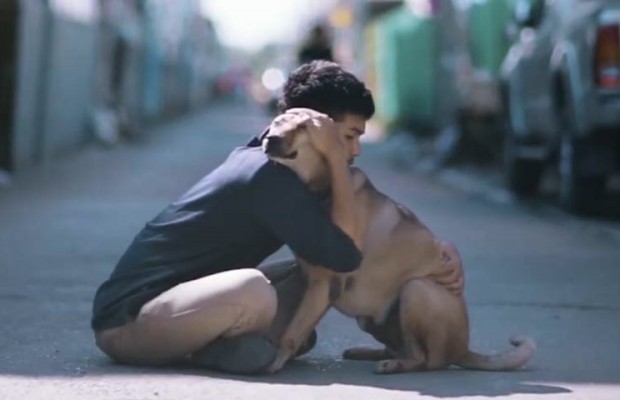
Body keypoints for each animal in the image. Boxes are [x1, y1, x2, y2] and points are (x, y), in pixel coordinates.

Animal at [262, 119, 532, 376]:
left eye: (302, 126)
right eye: (276, 122)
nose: (269, 139)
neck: (321, 188)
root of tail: (463, 349)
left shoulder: (324, 284)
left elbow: (292, 331)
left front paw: (275, 362)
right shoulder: (311, 278)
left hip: (415, 290)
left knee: (425, 360)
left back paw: (396, 365)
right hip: (373, 319)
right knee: (402, 348)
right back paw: (370, 354)